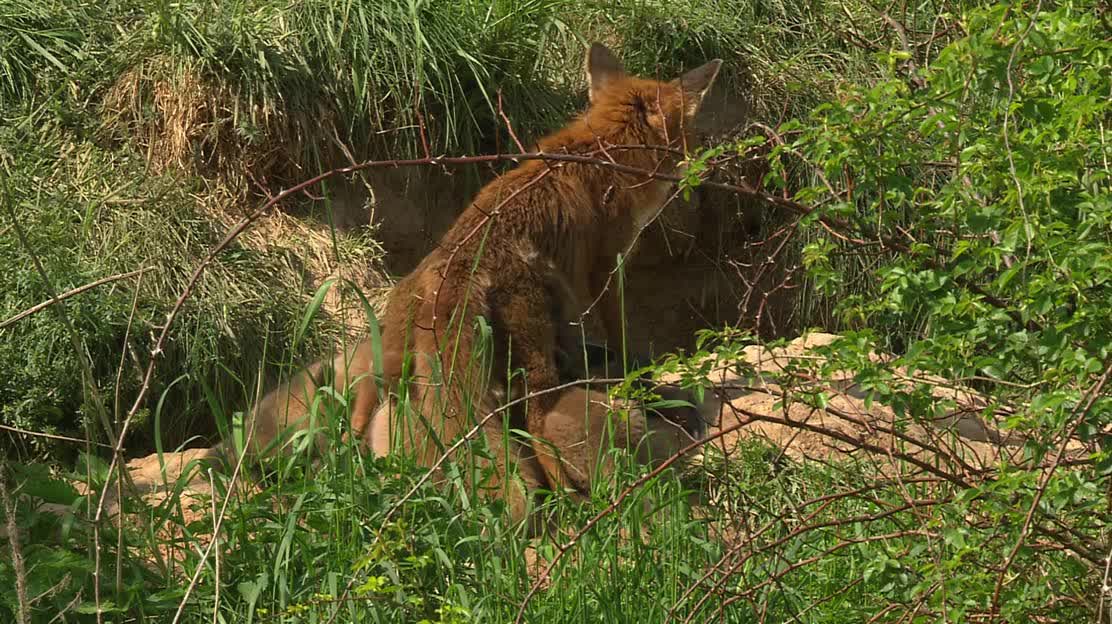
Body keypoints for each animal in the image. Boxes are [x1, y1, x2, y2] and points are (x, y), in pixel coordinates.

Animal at [230, 40, 725, 525]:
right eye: (692, 135)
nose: (701, 171)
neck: (600, 152)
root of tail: (453, 269)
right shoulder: (608, 268)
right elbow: (624, 340)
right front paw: (647, 384)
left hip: (384, 369)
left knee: (355, 436)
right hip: (534, 356)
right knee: (540, 425)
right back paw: (575, 507)